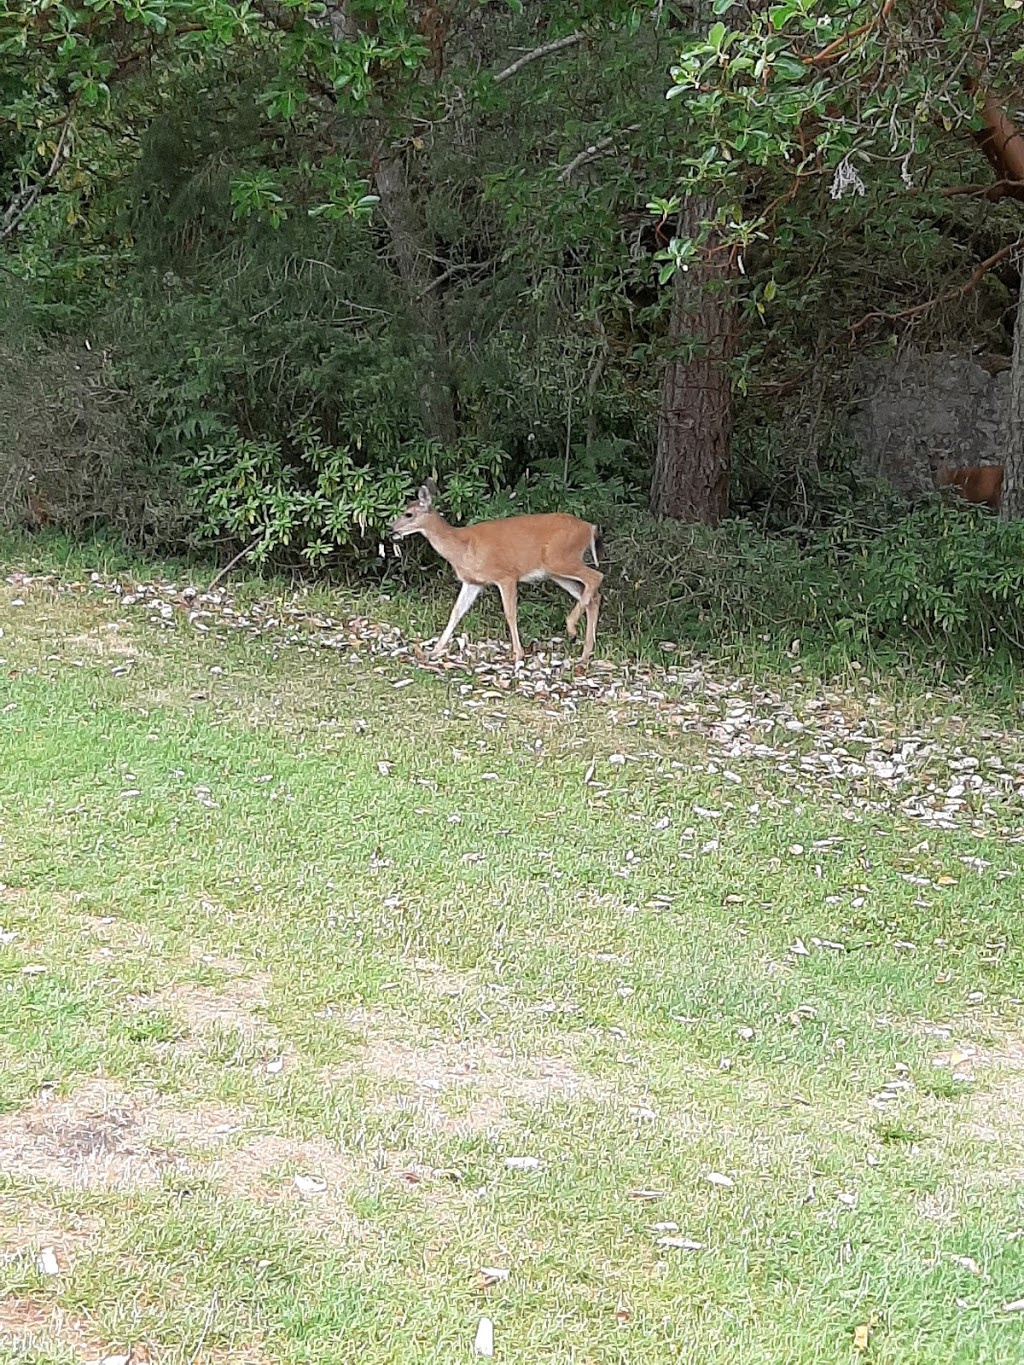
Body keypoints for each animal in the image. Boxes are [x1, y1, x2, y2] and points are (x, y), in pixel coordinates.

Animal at [390, 480, 600, 666]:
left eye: (408, 514)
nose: (391, 529)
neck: (461, 547)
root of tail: (590, 528)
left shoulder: (506, 575)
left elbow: (510, 613)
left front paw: (518, 654)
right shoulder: (473, 582)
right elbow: (456, 612)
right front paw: (434, 650)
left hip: (561, 559)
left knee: (596, 577)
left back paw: (571, 629)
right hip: (557, 572)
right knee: (592, 596)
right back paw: (584, 653)